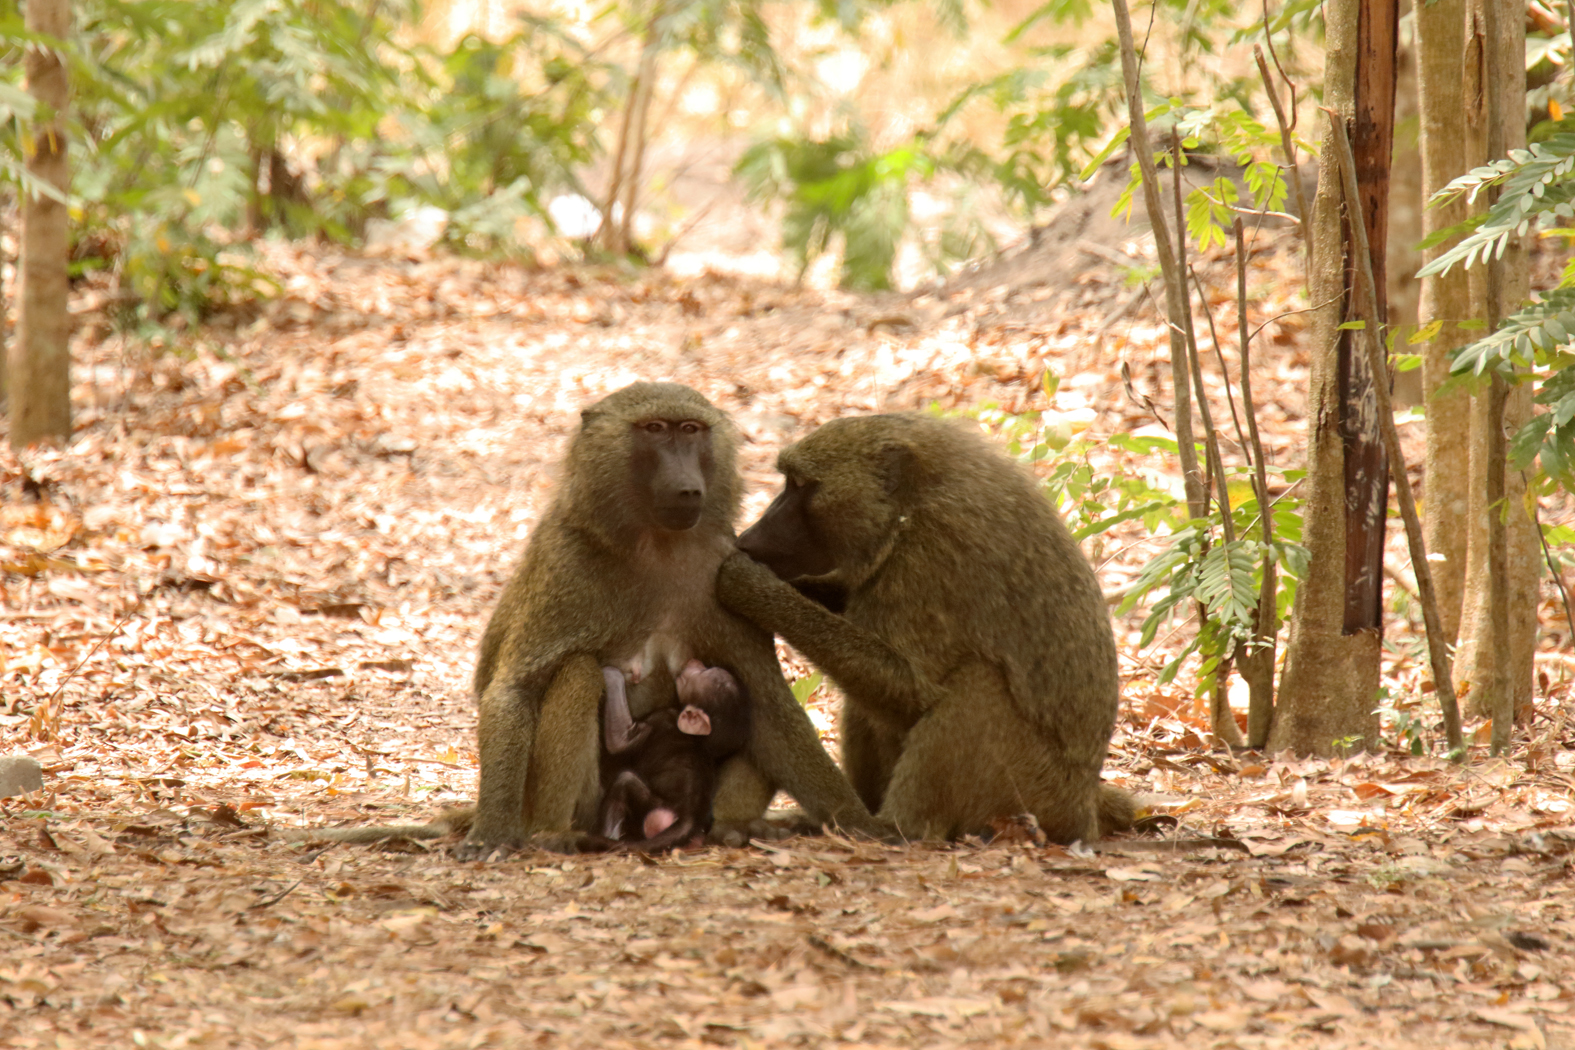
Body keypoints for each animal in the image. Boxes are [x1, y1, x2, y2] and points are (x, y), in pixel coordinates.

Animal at [587, 661, 751, 851]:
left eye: (704, 673)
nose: (696, 663)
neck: (701, 741)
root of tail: (689, 819)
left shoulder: (661, 718)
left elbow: (619, 741)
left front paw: (611, 673)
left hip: (653, 808)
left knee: (624, 782)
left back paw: (607, 838)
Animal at [715, 412, 1137, 845]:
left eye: (800, 485)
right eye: (789, 481)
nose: (749, 538)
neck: (913, 503)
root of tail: (1084, 806)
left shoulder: (930, 554)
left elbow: (913, 689)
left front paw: (747, 584)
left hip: (1033, 790)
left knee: (976, 684)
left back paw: (891, 828)